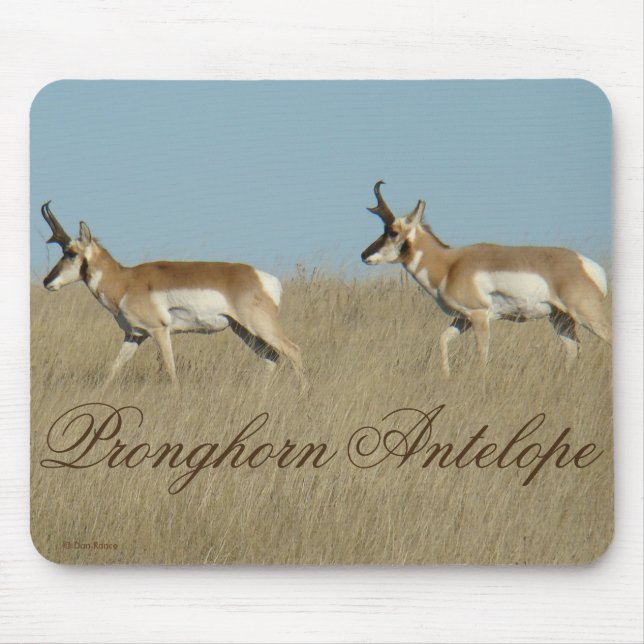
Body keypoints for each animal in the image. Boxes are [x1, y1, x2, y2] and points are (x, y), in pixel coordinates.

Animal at [41, 202, 304, 385]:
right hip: (243, 330)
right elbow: (113, 368)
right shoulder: (134, 335)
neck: (125, 280)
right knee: (271, 357)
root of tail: (264, 278)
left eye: (71, 253)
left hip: (260, 326)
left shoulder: (159, 330)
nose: (46, 281)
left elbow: (170, 369)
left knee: (293, 351)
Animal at [360, 181, 611, 375]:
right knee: (572, 349)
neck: (449, 264)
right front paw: (447, 375)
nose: (364, 255)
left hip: (586, 315)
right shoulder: (462, 319)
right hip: (561, 319)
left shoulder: (479, 316)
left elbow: (482, 354)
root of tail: (587, 264)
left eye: (392, 232)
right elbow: (442, 340)